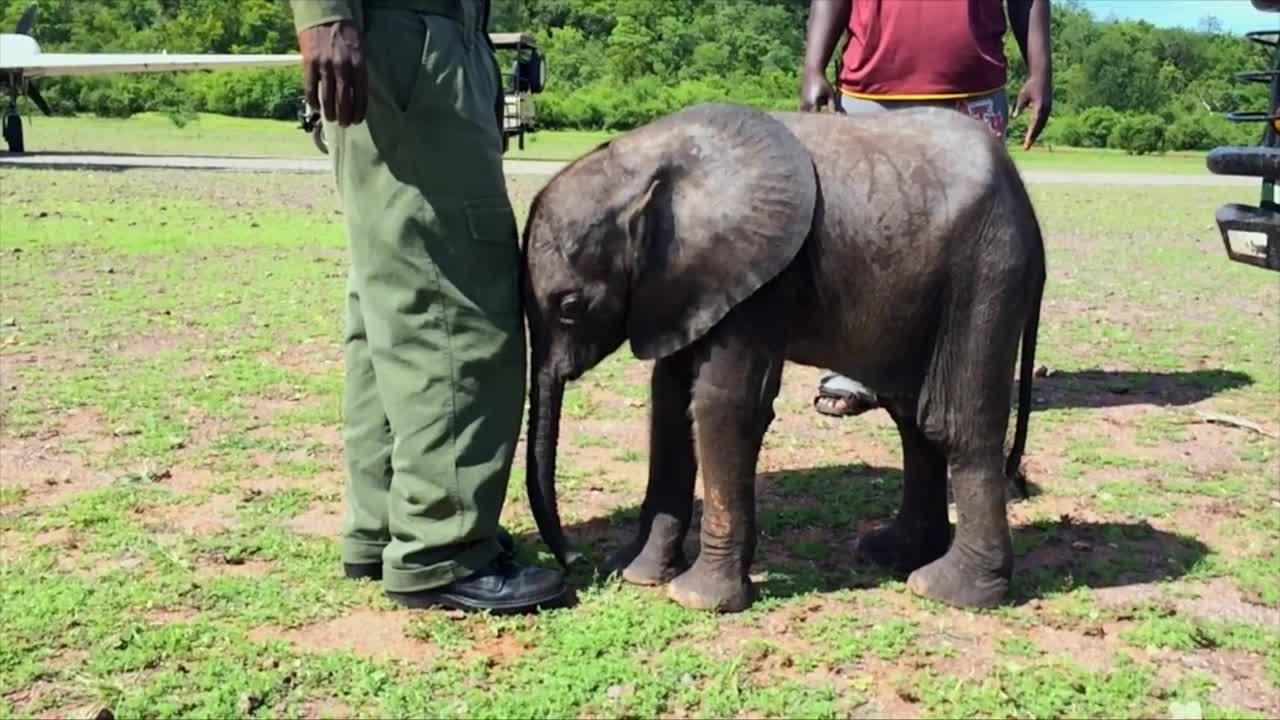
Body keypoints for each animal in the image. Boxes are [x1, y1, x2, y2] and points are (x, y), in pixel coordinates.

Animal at [517, 98, 1039, 607]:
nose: (573, 559)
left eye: (570, 307)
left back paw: (948, 590)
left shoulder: (759, 275)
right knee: (912, 419)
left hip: (986, 270)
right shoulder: (679, 282)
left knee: (954, 424)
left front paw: (696, 598)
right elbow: (668, 398)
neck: (645, 168)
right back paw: (892, 554)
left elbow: (723, 404)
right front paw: (639, 574)